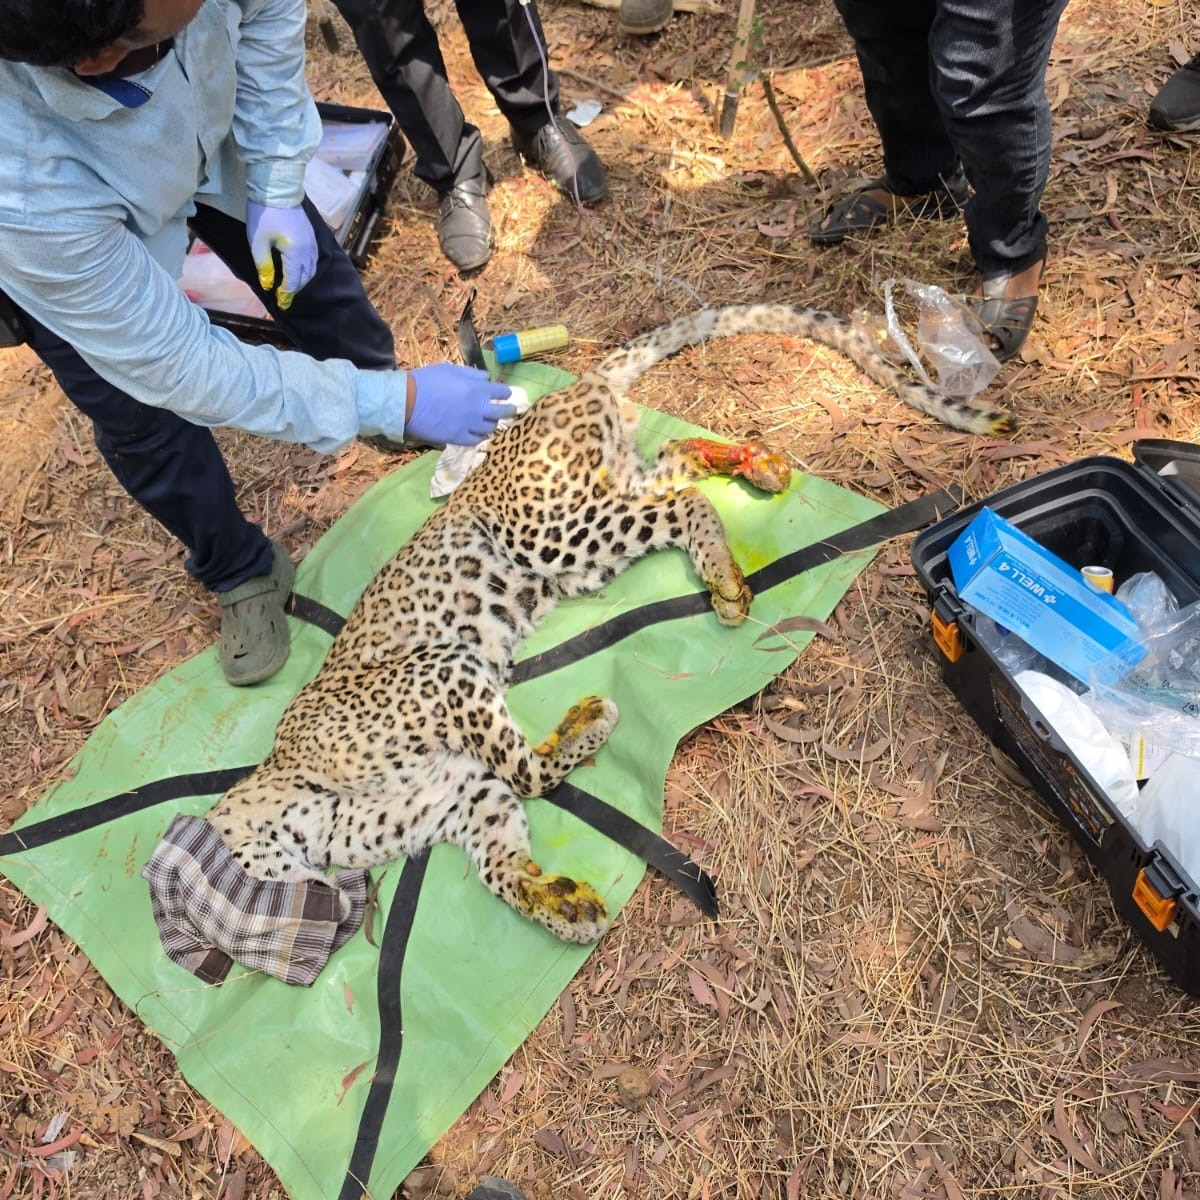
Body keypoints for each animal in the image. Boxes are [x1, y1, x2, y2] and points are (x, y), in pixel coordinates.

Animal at [208, 300, 1013, 946]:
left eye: (245, 887)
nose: (322, 908)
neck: (298, 802)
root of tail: (564, 391)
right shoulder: (465, 797)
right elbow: (504, 848)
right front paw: (559, 905)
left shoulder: (442, 671)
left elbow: (529, 770)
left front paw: (591, 719)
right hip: (592, 522)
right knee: (676, 460)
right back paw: (757, 468)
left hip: (552, 534)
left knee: (681, 503)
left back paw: (726, 575)